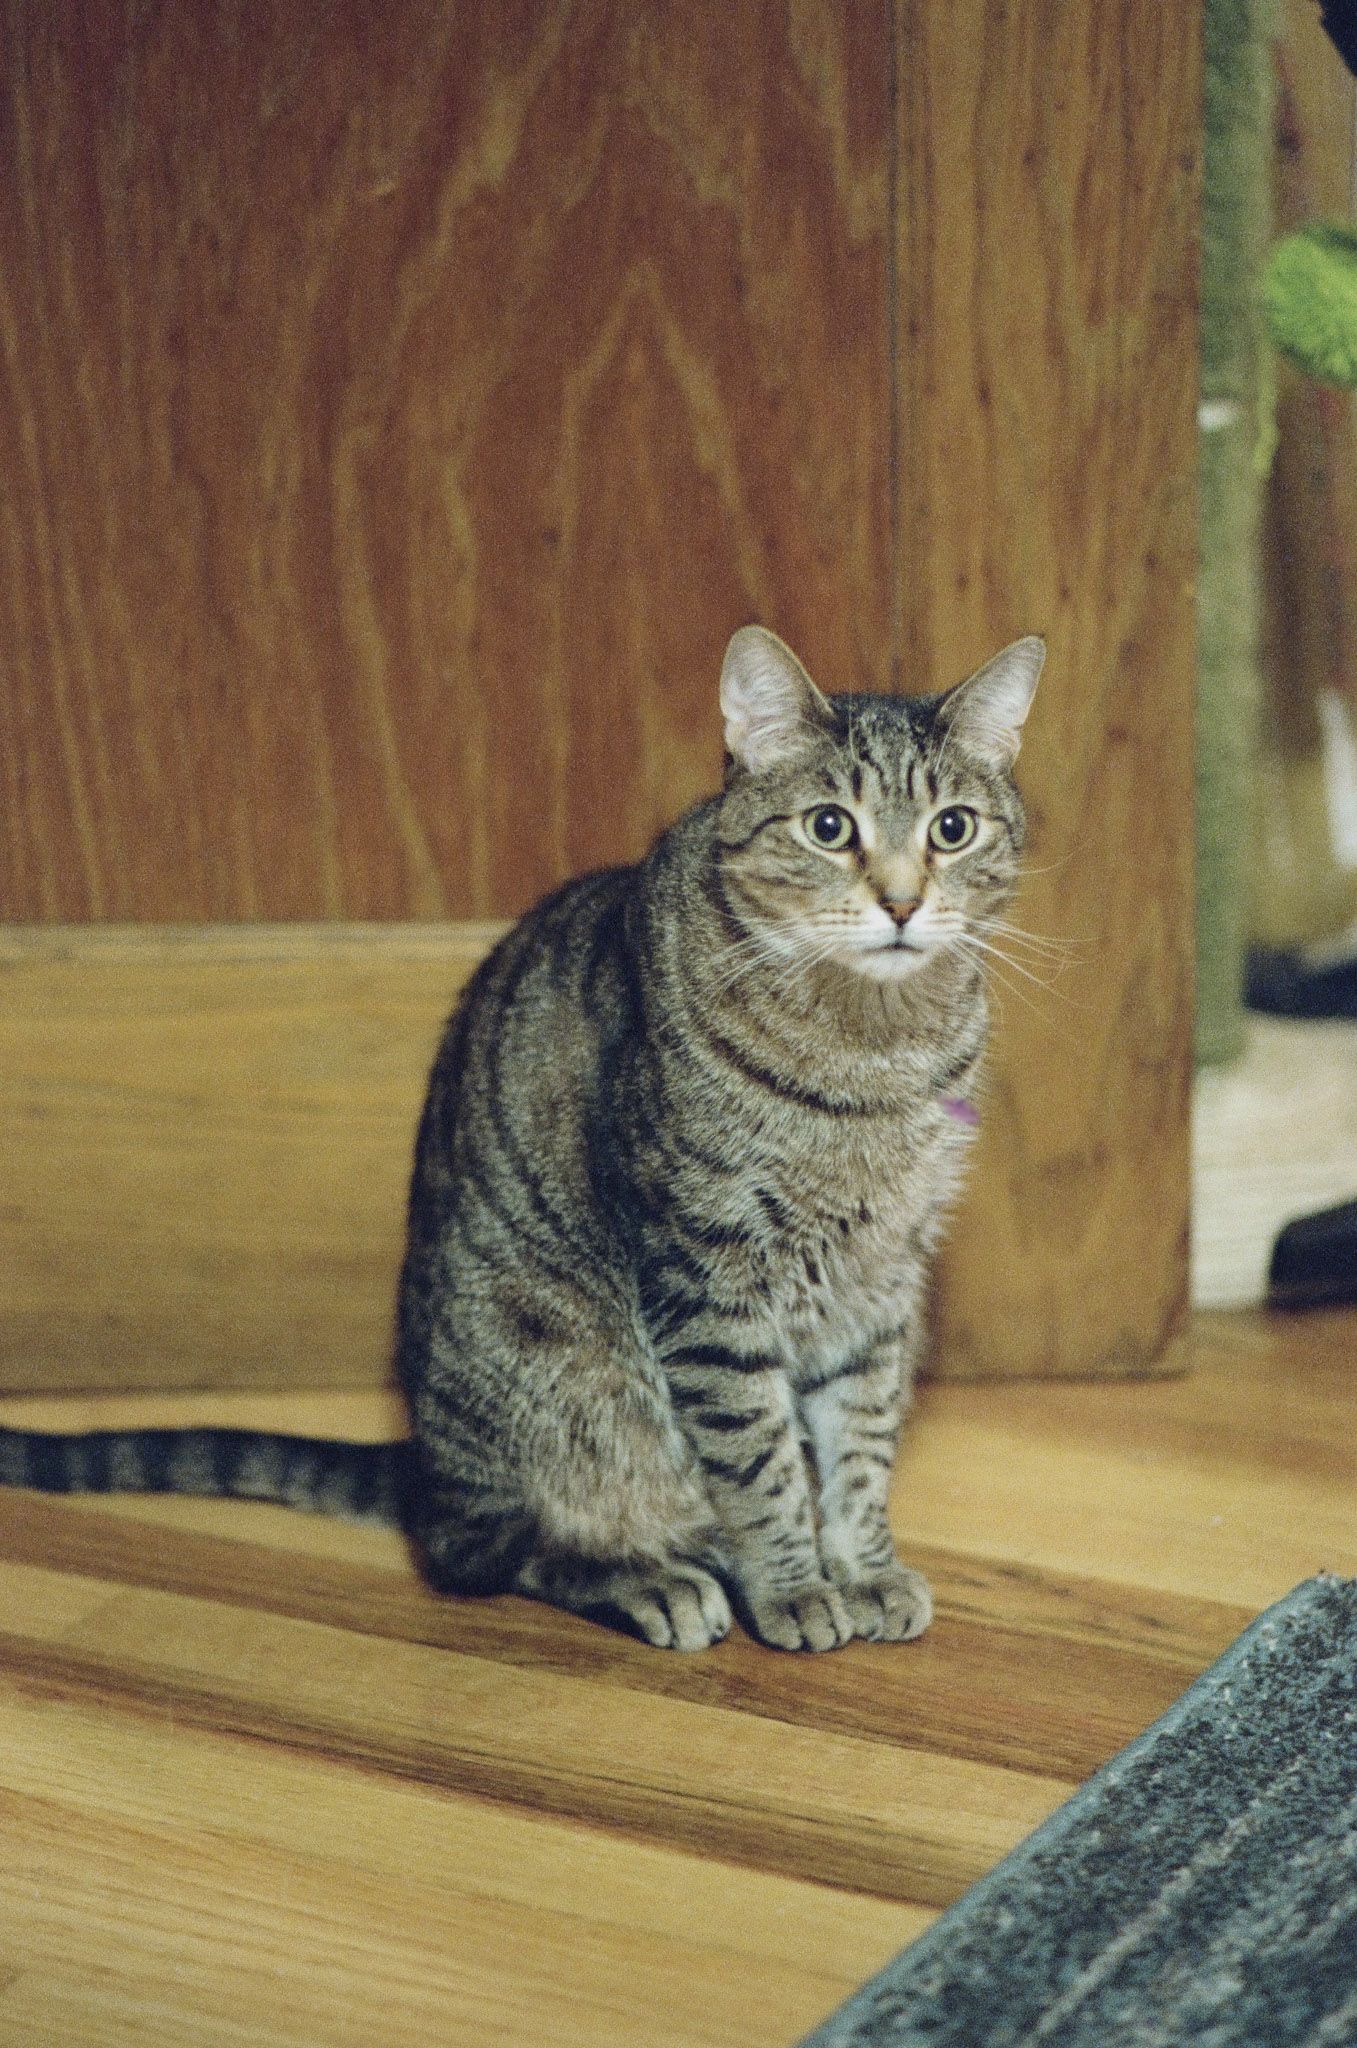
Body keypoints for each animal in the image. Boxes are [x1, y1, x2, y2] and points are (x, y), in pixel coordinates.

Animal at [0, 622, 1039, 1646]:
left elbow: (859, 1444)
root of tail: (424, 1465)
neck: (874, 1060)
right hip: (554, 1376)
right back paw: (652, 1578)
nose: (902, 902)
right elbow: (760, 1461)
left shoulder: (884, 1278)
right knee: (489, 1552)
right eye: (829, 827)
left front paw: (862, 1568)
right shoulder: (707, 1280)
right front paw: (792, 1587)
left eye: (952, 828)